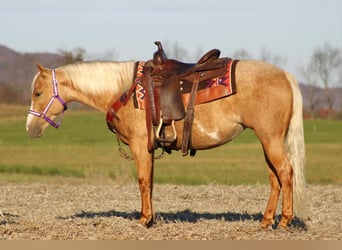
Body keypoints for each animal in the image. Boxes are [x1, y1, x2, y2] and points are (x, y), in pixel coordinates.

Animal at [25, 58, 306, 229]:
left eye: (38, 93)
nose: (30, 128)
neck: (124, 90)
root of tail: (285, 75)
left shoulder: (140, 145)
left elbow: (142, 181)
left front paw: (144, 219)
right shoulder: (148, 148)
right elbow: (150, 182)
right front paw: (151, 218)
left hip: (270, 139)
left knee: (285, 173)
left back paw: (284, 221)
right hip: (267, 140)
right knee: (274, 178)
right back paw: (266, 221)